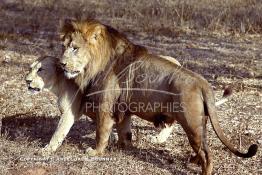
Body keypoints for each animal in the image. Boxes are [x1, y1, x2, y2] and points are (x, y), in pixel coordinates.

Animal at [58, 18, 256, 174]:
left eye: (75, 48)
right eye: (63, 47)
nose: (61, 64)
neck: (95, 64)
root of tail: (202, 82)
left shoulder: (105, 108)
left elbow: (101, 132)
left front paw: (95, 152)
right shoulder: (123, 109)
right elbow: (124, 132)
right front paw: (122, 147)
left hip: (191, 123)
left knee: (206, 153)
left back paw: (203, 170)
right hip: (200, 123)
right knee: (201, 148)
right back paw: (193, 160)